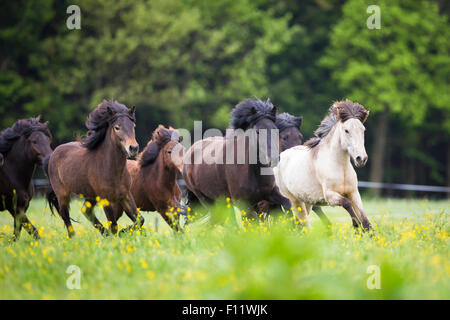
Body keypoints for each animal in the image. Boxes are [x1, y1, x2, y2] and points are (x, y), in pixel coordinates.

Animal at [44, 100, 142, 238]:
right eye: (117, 127)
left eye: (133, 126)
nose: (133, 148)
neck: (112, 169)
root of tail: (53, 154)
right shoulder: (106, 199)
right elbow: (113, 226)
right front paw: (119, 234)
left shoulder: (125, 195)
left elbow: (139, 220)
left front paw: (124, 232)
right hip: (62, 193)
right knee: (65, 215)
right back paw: (74, 238)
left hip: (91, 195)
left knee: (86, 210)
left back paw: (103, 233)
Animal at [274, 99, 372, 231]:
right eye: (346, 130)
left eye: (363, 130)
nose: (361, 158)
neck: (340, 167)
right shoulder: (330, 196)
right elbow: (347, 203)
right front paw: (356, 225)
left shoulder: (354, 193)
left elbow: (365, 221)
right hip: (294, 201)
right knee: (301, 223)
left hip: (307, 202)